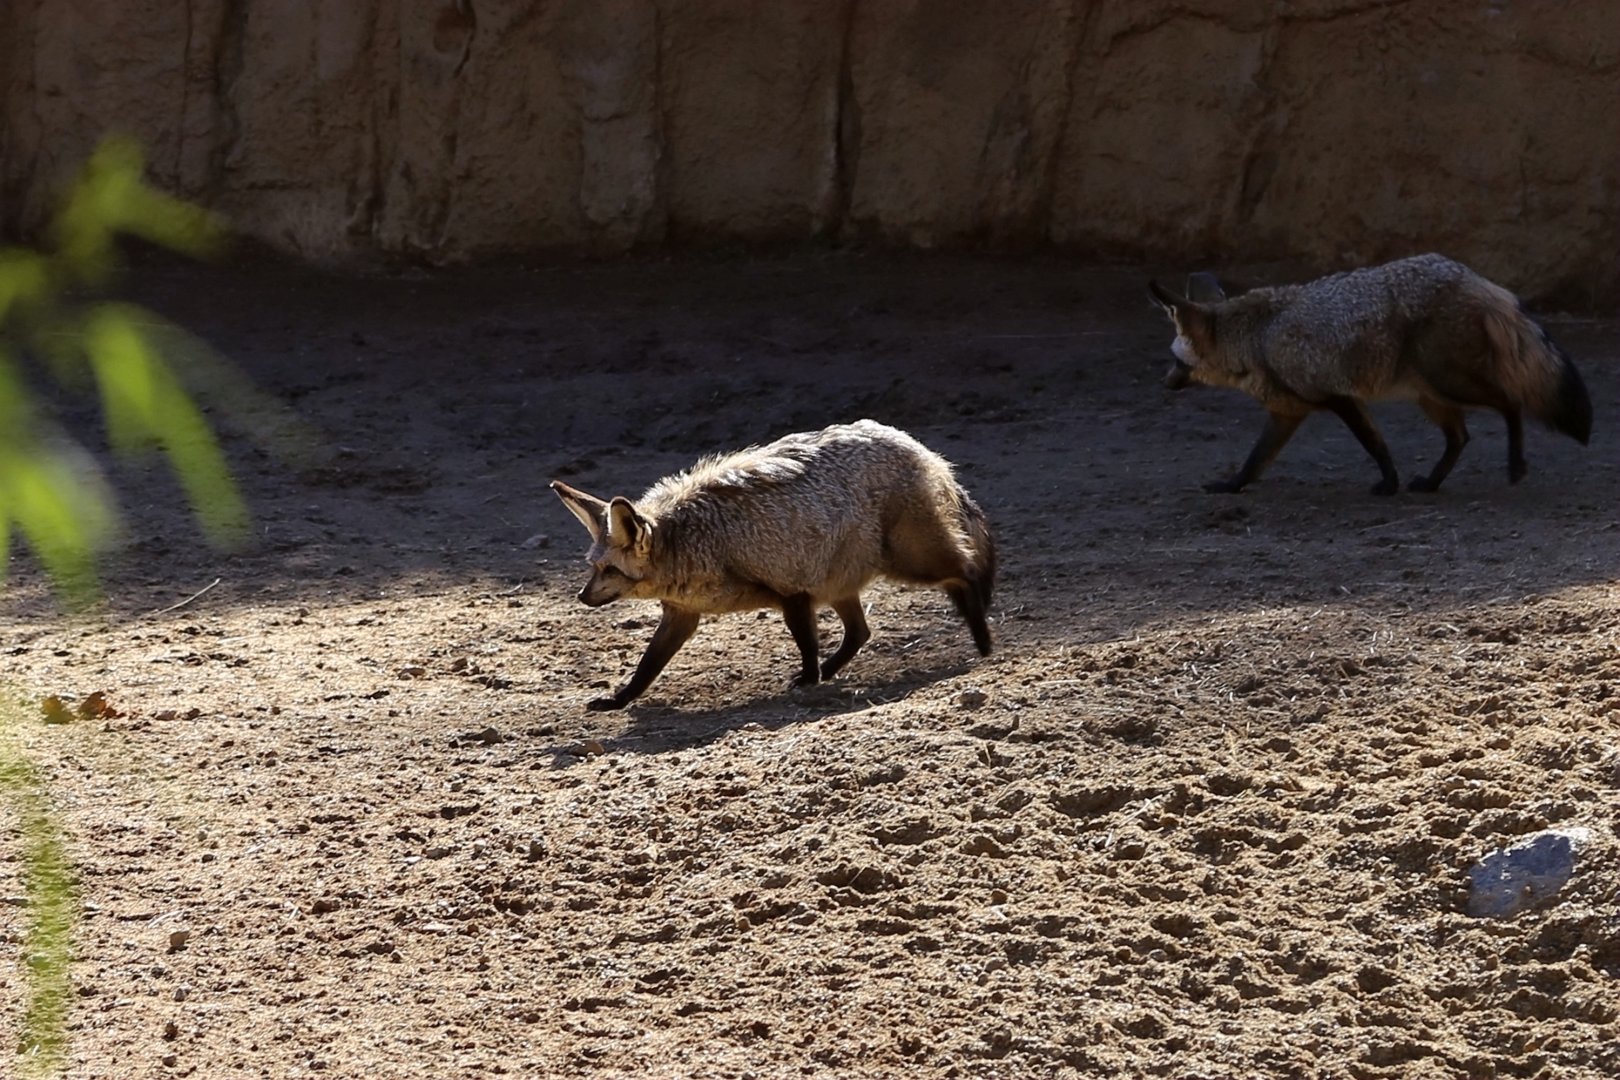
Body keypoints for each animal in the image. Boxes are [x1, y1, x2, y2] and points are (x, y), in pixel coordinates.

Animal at [551, 420, 996, 711]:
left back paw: (984, 643)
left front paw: (810, 678)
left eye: (610, 571)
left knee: (967, 571)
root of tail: (917, 446)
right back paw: (834, 670)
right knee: (860, 632)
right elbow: (646, 666)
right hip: (843, 584)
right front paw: (619, 699)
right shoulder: (681, 615)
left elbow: (806, 643)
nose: (582, 596)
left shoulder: (791, 589)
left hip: (911, 562)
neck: (694, 540)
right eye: (593, 568)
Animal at [1149, 254, 1592, 494]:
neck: (1256, 337)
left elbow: (1374, 445)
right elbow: (1254, 460)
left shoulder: (1339, 398)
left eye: (1176, 361)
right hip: (1431, 396)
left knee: (1510, 402)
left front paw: (1389, 484)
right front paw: (1231, 485)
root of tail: (1473, 277)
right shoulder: (1288, 413)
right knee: (1460, 437)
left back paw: (1515, 465)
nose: (1165, 383)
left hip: (1450, 384)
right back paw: (1432, 483)